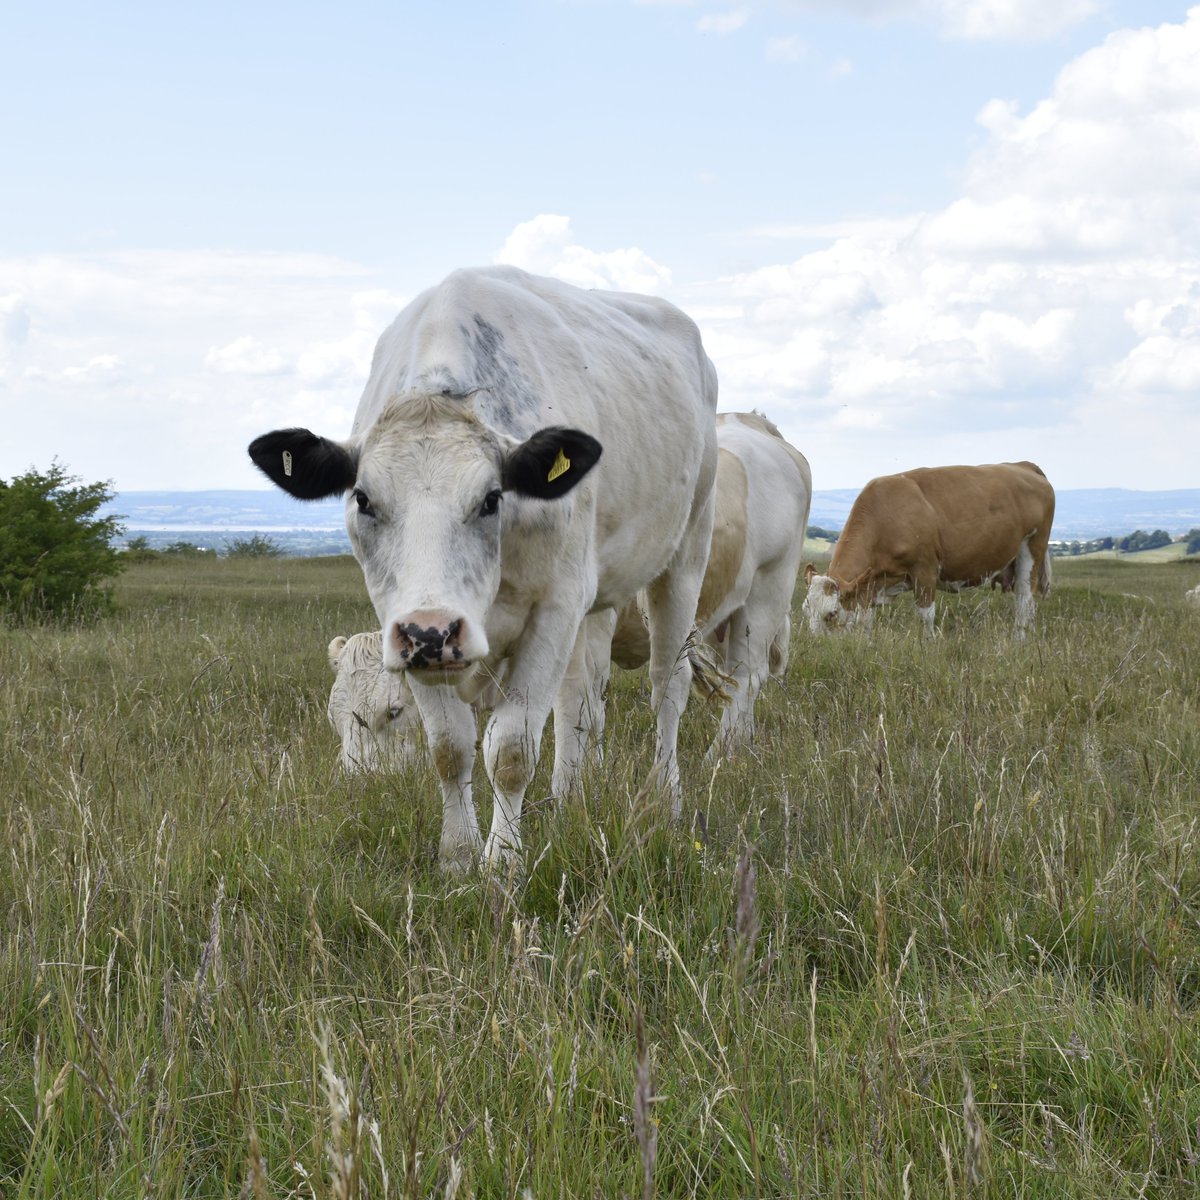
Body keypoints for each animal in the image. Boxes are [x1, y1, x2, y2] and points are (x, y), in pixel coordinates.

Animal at [250, 266, 718, 870]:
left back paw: (665, 798)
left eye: (492, 498)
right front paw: (457, 855)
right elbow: (450, 747)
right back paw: (569, 797)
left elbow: (512, 750)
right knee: (581, 699)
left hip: (685, 556)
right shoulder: (402, 629)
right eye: (363, 499)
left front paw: (504, 863)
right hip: (593, 604)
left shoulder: (554, 607)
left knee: (667, 686)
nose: (432, 632)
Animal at [802, 461, 1055, 638]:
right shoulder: (870, 586)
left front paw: (928, 645)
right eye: (806, 609)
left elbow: (925, 617)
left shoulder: (924, 570)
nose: (818, 646)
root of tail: (1023, 465)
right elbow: (866, 621)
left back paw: (1019, 640)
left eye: (831, 614)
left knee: (1024, 600)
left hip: (1032, 547)